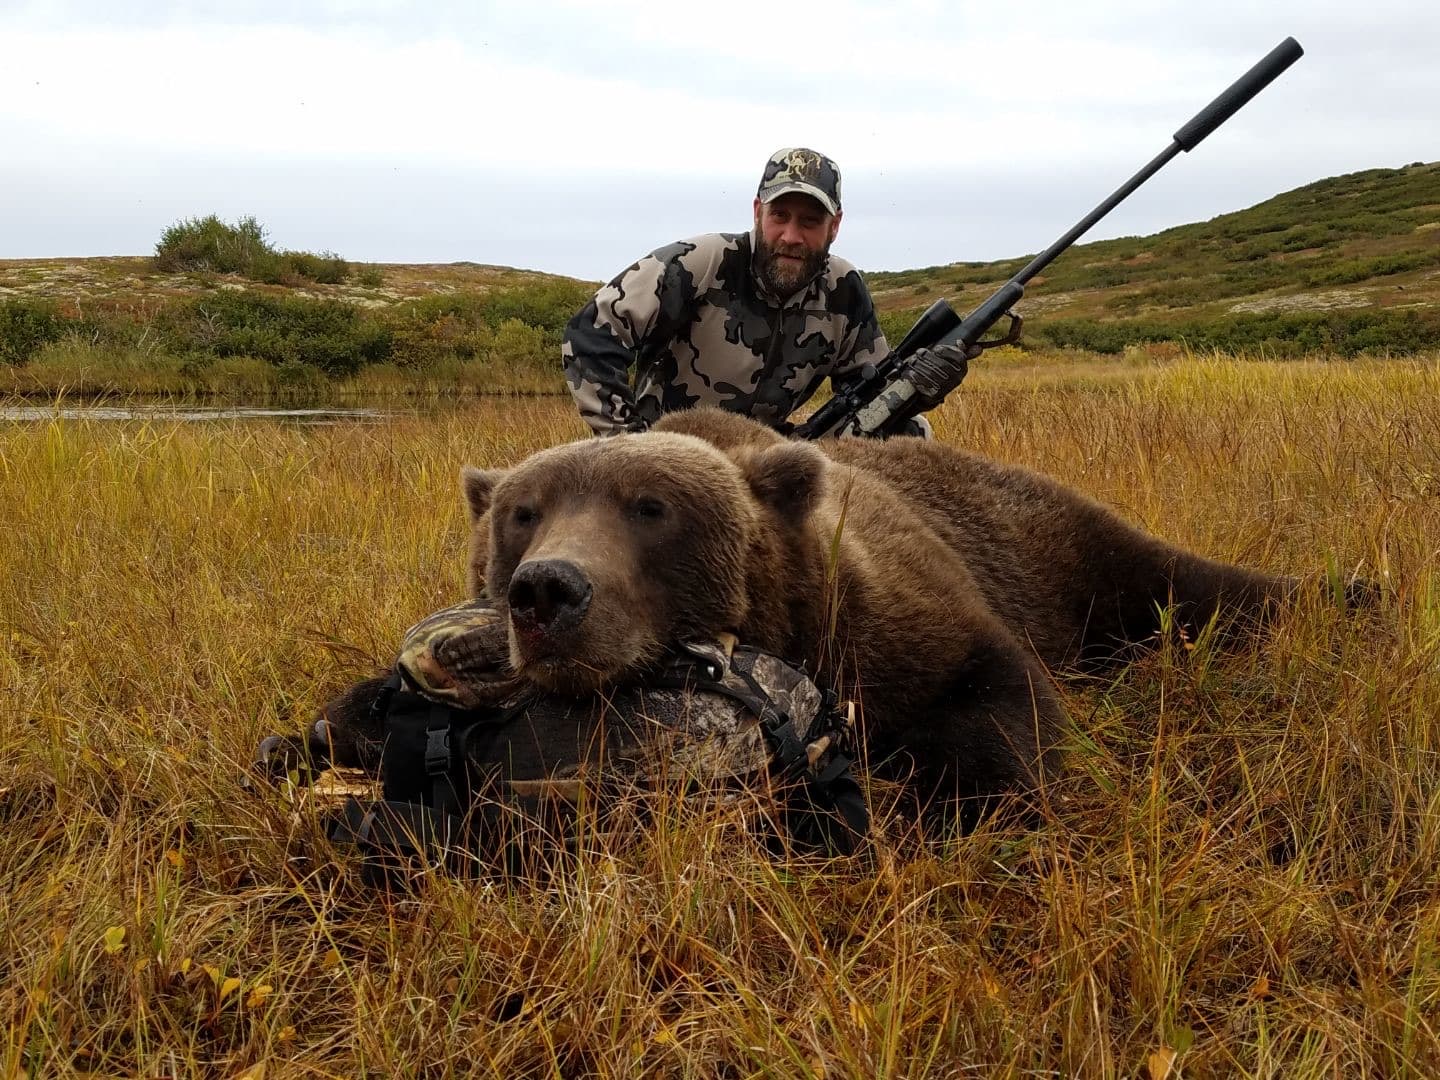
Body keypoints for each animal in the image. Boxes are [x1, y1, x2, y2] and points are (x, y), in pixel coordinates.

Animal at [451, 406, 1299, 814]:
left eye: (650, 507)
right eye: (523, 513)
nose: (548, 590)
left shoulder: (882, 611)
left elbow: (991, 691)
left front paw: (952, 803)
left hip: (1047, 540)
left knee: (1176, 581)